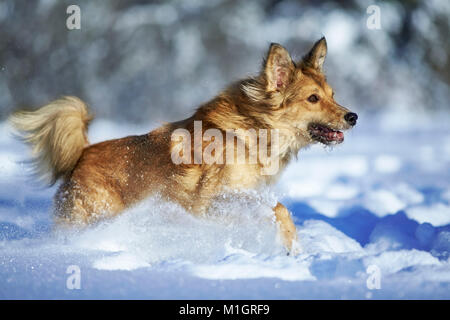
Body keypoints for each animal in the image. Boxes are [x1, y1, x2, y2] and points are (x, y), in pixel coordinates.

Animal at [8, 37, 356, 254]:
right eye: (313, 98)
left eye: (333, 95)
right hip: (94, 215)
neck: (254, 129)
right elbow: (277, 208)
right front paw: (290, 247)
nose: (353, 117)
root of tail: (81, 155)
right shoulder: (210, 202)